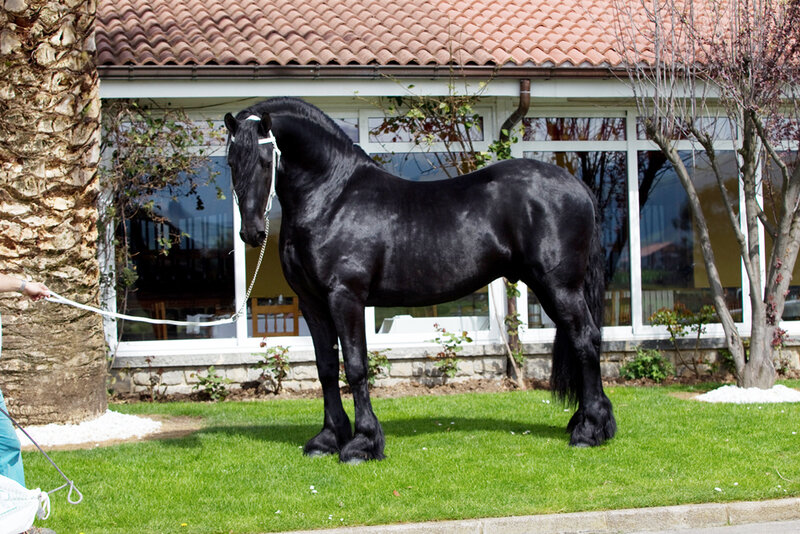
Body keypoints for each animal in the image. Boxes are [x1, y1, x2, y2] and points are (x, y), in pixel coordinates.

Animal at [224, 98, 616, 462]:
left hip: (559, 287)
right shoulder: (313, 303)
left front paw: (362, 444)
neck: (333, 197)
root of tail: (577, 186)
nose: (252, 233)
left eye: (265, 161)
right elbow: (326, 369)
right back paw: (589, 423)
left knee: (585, 339)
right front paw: (327, 439)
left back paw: (589, 431)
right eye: (230, 161)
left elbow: (356, 366)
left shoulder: (345, 297)